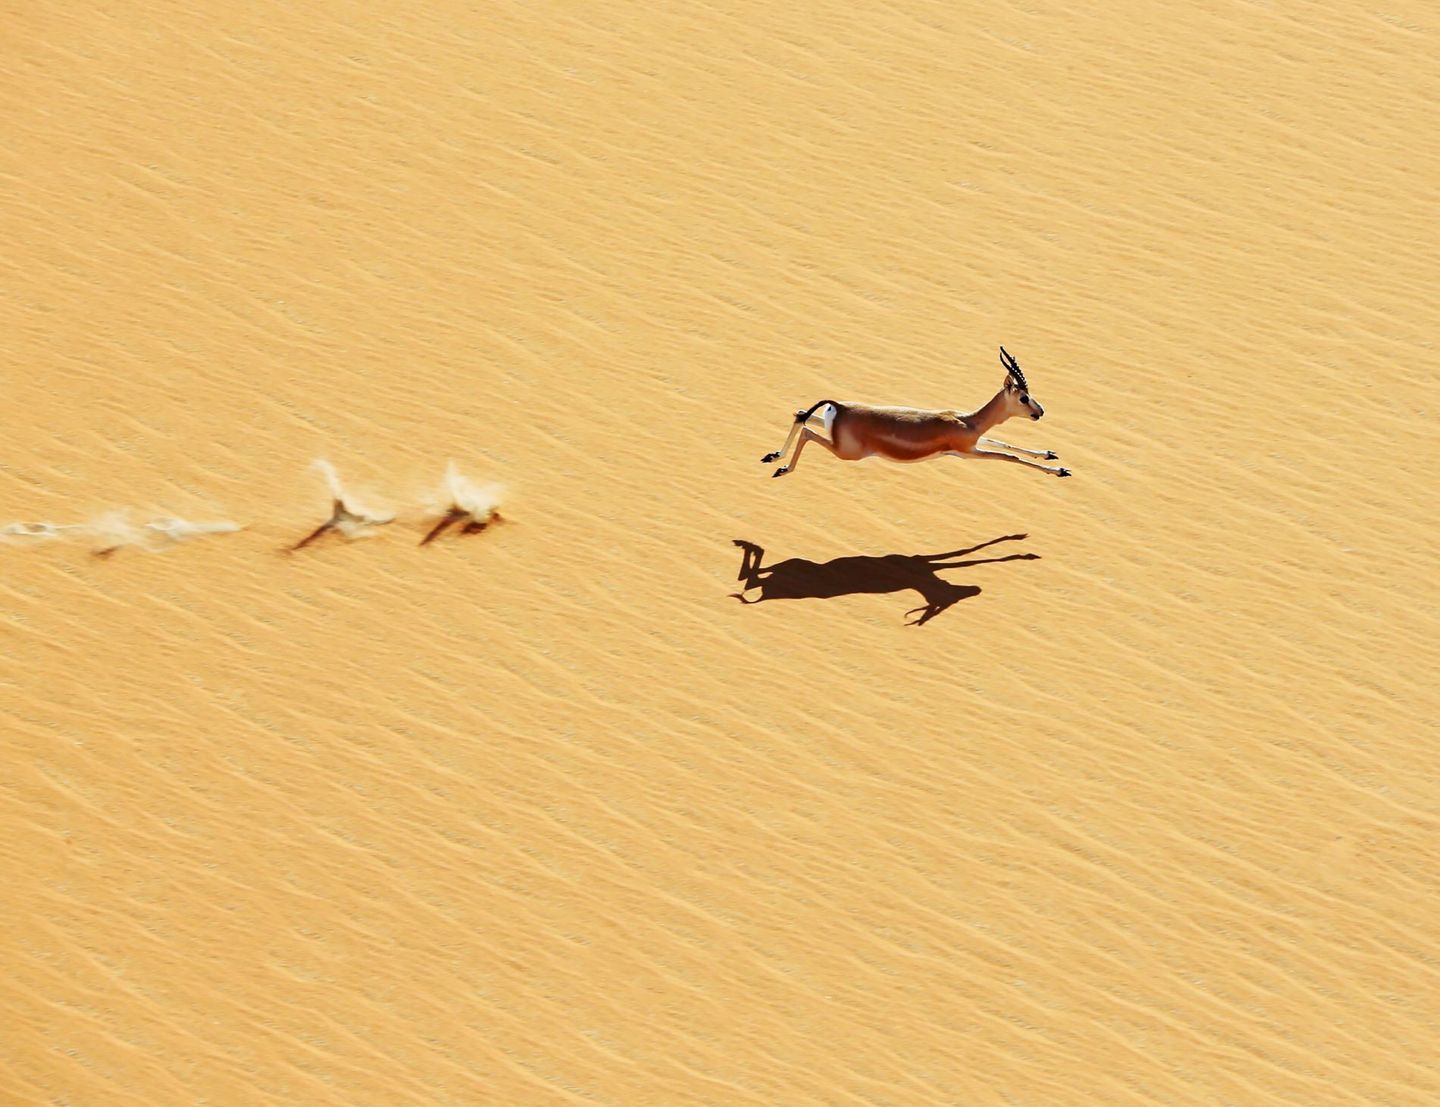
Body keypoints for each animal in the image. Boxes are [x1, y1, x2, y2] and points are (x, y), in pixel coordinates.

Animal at [761, 347, 1070, 478]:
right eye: (1023, 397)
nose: (1040, 412)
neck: (968, 422)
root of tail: (840, 406)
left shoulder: (974, 441)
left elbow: (1003, 442)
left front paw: (1049, 454)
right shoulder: (968, 451)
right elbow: (1009, 456)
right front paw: (1060, 471)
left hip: (830, 429)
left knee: (801, 413)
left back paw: (773, 456)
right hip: (846, 452)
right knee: (807, 432)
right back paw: (783, 469)